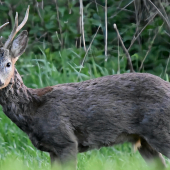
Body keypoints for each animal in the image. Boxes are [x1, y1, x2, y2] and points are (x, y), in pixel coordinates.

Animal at [0, 4, 170, 169]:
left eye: (8, 63)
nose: (1, 82)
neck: (33, 110)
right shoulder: (52, 149)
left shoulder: (66, 141)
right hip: (145, 141)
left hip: (160, 130)